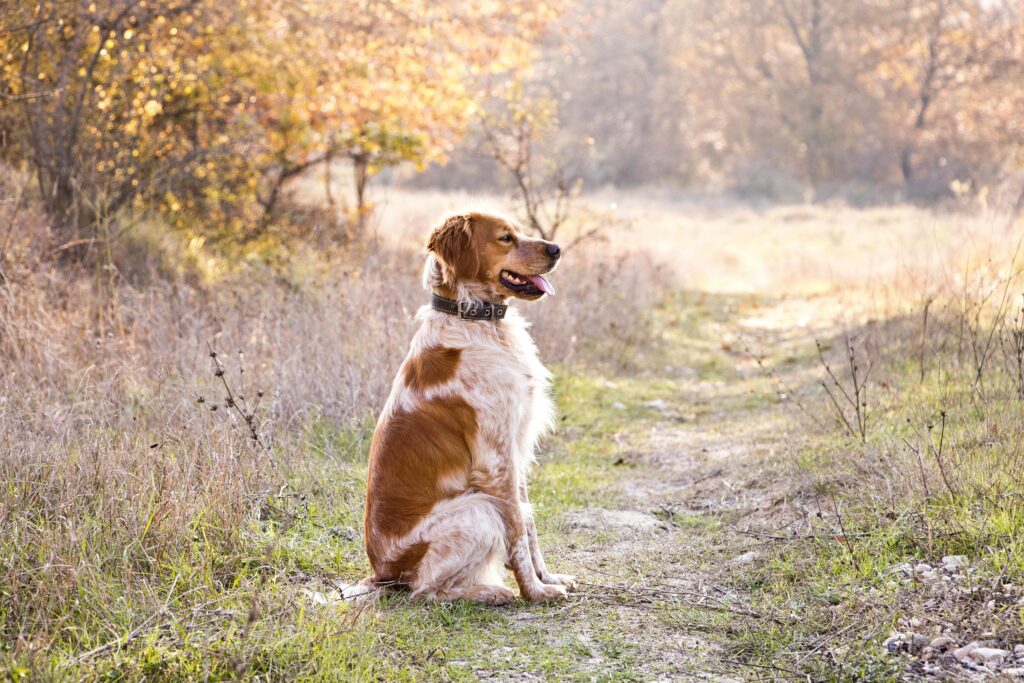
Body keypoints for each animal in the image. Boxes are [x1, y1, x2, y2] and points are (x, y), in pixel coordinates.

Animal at [360, 211, 573, 602]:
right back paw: (490, 592)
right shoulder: (496, 460)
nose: (556, 248)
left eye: (519, 231)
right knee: (426, 591)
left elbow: (528, 520)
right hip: (478, 509)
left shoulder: (513, 449)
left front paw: (548, 577)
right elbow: (518, 529)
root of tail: (381, 574)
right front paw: (535, 591)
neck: (474, 318)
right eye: (506, 237)